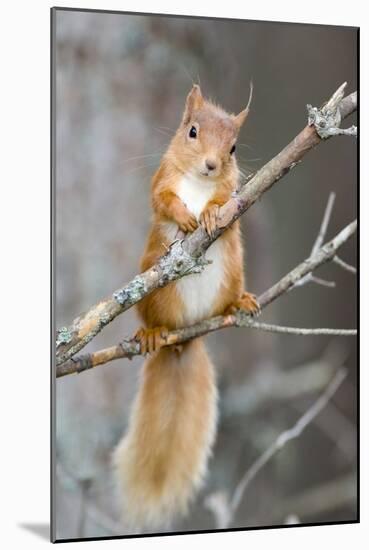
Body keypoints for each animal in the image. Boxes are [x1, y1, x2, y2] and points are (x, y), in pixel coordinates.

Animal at [113, 85, 258, 532]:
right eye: (191, 131)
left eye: (233, 148)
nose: (211, 165)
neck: (197, 182)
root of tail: (186, 336)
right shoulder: (161, 178)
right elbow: (161, 200)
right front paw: (185, 215)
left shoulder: (235, 196)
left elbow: (227, 205)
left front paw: (209, 212)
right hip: (152, 290)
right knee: (152, 319)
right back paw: (151, 333)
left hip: (233, 271)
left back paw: (240, 302)